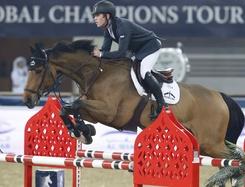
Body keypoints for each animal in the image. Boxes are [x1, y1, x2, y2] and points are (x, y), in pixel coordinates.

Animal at [23, 39, 245, 186]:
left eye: (38, 70)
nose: (26, 100)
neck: (97, 74)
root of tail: (219, 96)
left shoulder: (110, 113)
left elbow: (74, 105)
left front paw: (82, 132)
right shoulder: (94, 110)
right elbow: (69, 108)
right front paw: (83, 132)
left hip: (210, 144)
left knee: (236, 159)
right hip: (207, 144)